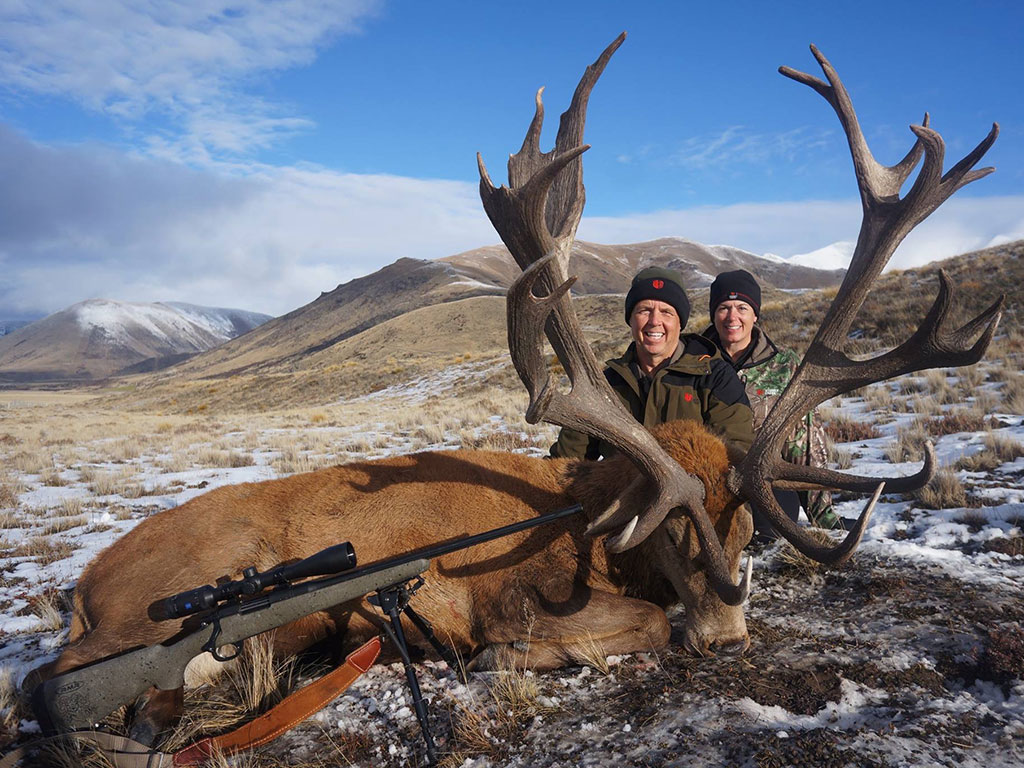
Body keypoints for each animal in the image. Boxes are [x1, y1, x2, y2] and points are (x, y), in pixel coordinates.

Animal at [28, 34, 1002, 746]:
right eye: (674, 532)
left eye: (741, 525)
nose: (727, 635)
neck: (591, 527)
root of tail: (82, 591)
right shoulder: (504, 598)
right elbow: (630, 627)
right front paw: (516, 661)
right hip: (164, 608)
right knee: (46, 684)